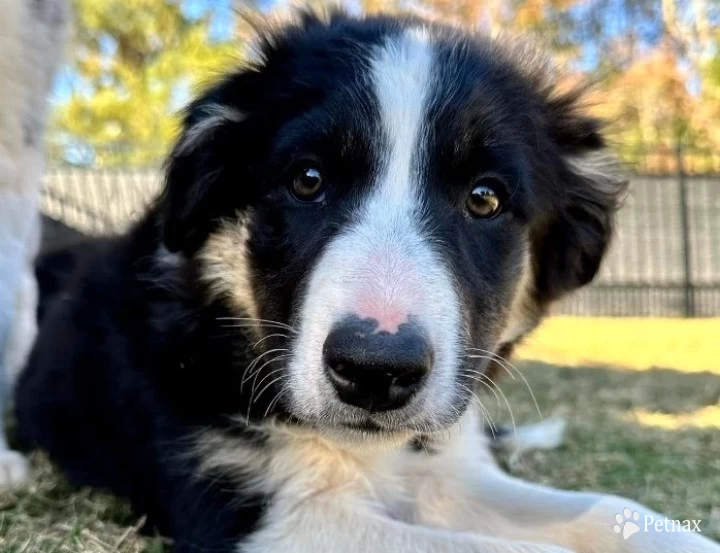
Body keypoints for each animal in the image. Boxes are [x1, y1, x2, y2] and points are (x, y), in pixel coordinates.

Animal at [14, 9, 716, 552]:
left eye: (485, 199)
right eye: (307, 180)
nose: (376, 370)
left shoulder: (447, 470)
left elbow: (606, 509)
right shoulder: (261, 514)